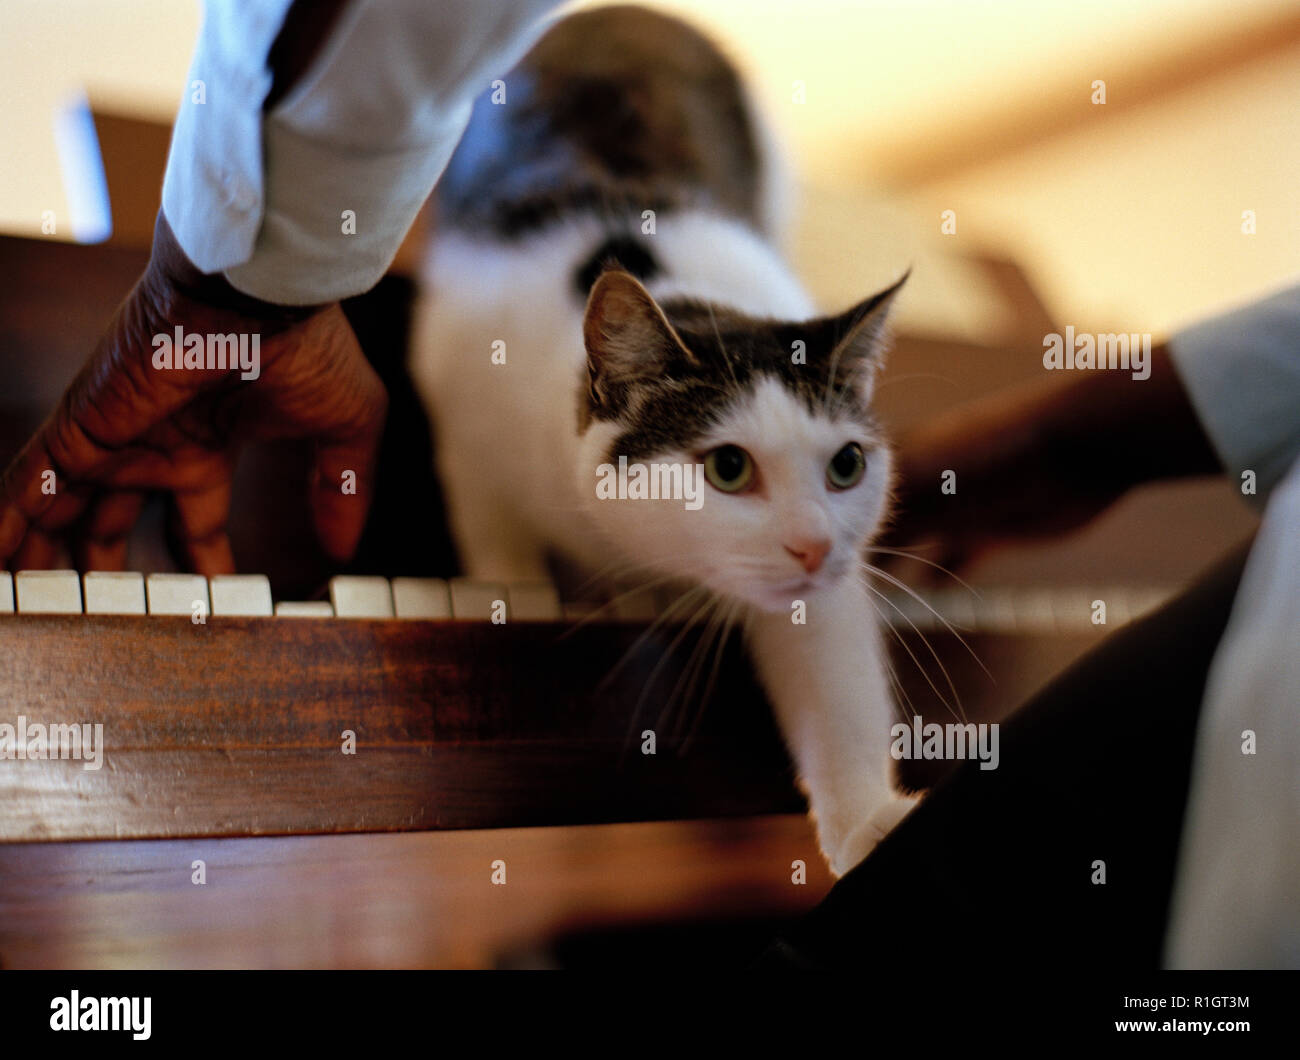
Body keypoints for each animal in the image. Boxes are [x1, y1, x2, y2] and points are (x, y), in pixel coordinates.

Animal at [413, 4, 915, 874]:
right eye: (728, 468)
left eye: (847, 465)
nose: (816, 547)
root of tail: (621, 14)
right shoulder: (464, 418)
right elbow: (496, 542)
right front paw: (514, 591)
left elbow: (834, 676)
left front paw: (865, 822)